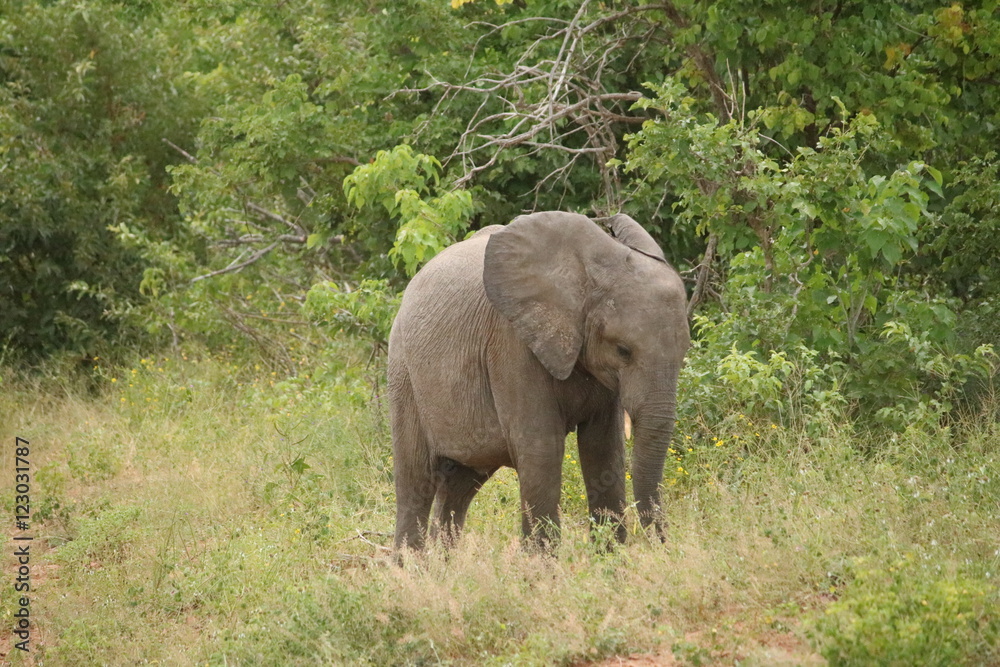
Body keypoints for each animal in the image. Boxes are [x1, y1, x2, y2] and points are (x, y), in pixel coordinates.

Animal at [387, 211, 689, 550]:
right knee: (416, 482)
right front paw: (542, 564)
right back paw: (409, 561)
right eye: (623, 351)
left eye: (685, 350)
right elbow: (541, 449)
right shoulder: (511, 345)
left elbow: (604, 450)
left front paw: (611, 559)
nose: (662, 547)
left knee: (459, 484)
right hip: (404, 374)